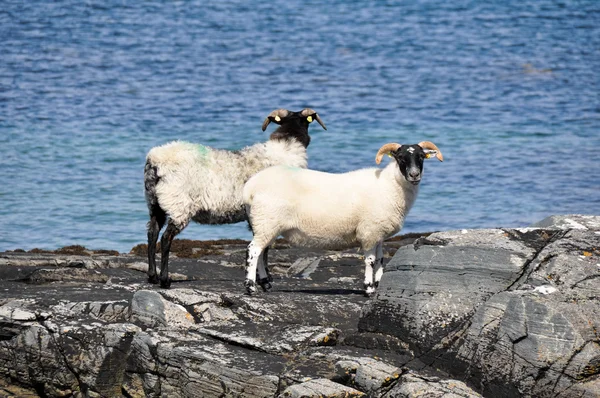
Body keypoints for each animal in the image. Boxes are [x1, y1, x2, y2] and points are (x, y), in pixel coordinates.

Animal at [144, 108, 326, 290]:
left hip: (155, 203)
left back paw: (152, 276)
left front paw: (261, 277)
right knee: (165, 239)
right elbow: (265, 248)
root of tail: (156, 161)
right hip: (179, 205)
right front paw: (266, 280)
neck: (286, 149)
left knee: (152, 234)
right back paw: (165, 280)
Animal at [241, 141, 442, 296]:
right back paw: (251, 287)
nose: (414, 175)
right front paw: (369, 289)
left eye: (422, 157)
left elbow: (380, 259)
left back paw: (266, 284)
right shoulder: (369, 231)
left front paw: (379, 284)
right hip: (266, 222)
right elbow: (370, 261)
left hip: (265, 224)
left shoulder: (378, 233)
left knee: (262, 251)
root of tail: (249, 187)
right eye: (400, 158)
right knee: (253, 251)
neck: (389, 186)